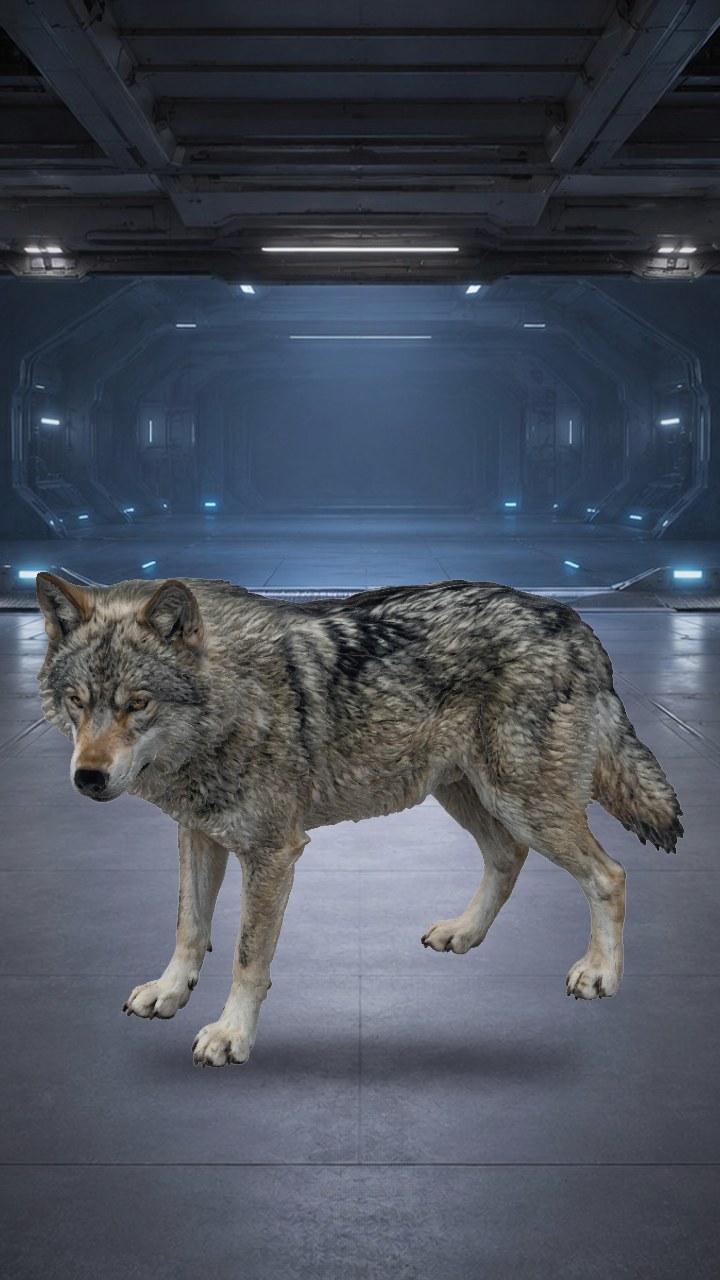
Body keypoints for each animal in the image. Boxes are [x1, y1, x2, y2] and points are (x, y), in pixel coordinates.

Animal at [35, 572, 683, 1067]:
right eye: (77, 702)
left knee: (610, 874)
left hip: (524, 804)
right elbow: (189, 928)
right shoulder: (197, 833)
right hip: (467, 796)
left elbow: (248, 958)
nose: (87, 777)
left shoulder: (273, 853)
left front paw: (231, 1035)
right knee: (508, 857)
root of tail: (573, 620)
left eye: (137, 704)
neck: (232, 698)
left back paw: (600, 974)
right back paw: (464, 932)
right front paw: (170, 992)